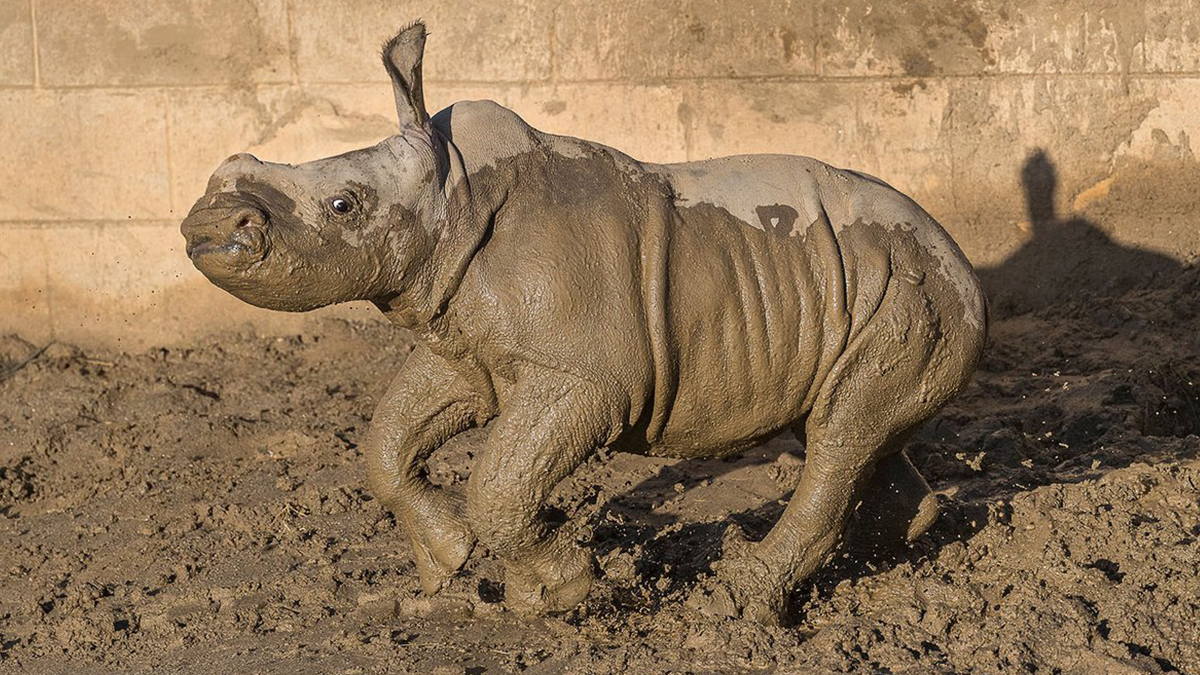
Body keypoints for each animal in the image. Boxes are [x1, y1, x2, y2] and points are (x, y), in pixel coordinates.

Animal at [177, 22, 984, 619]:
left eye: (344, 205)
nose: (208, 222)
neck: (449, 199)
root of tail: (959, 253)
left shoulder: (586, 377)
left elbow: (500, 480)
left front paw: (570, 587)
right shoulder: (466, 349)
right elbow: (389, 440)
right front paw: (460, 571)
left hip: (909, 287)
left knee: (840, 433)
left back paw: (736, 601)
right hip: (865, 286)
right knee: (849, 425)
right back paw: (880, 558)